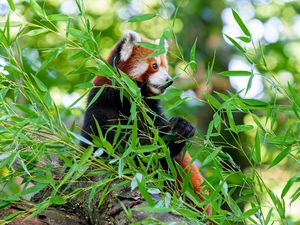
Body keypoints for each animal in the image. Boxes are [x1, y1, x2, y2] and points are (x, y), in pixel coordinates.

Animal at [79, 31, 211, 216]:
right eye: (154, 66)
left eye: (165, 67)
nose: (169, 80)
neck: (130, 102)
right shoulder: (101, 108)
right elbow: (116, 148)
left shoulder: (152, 113)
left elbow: (163, 151)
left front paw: (182, 128)